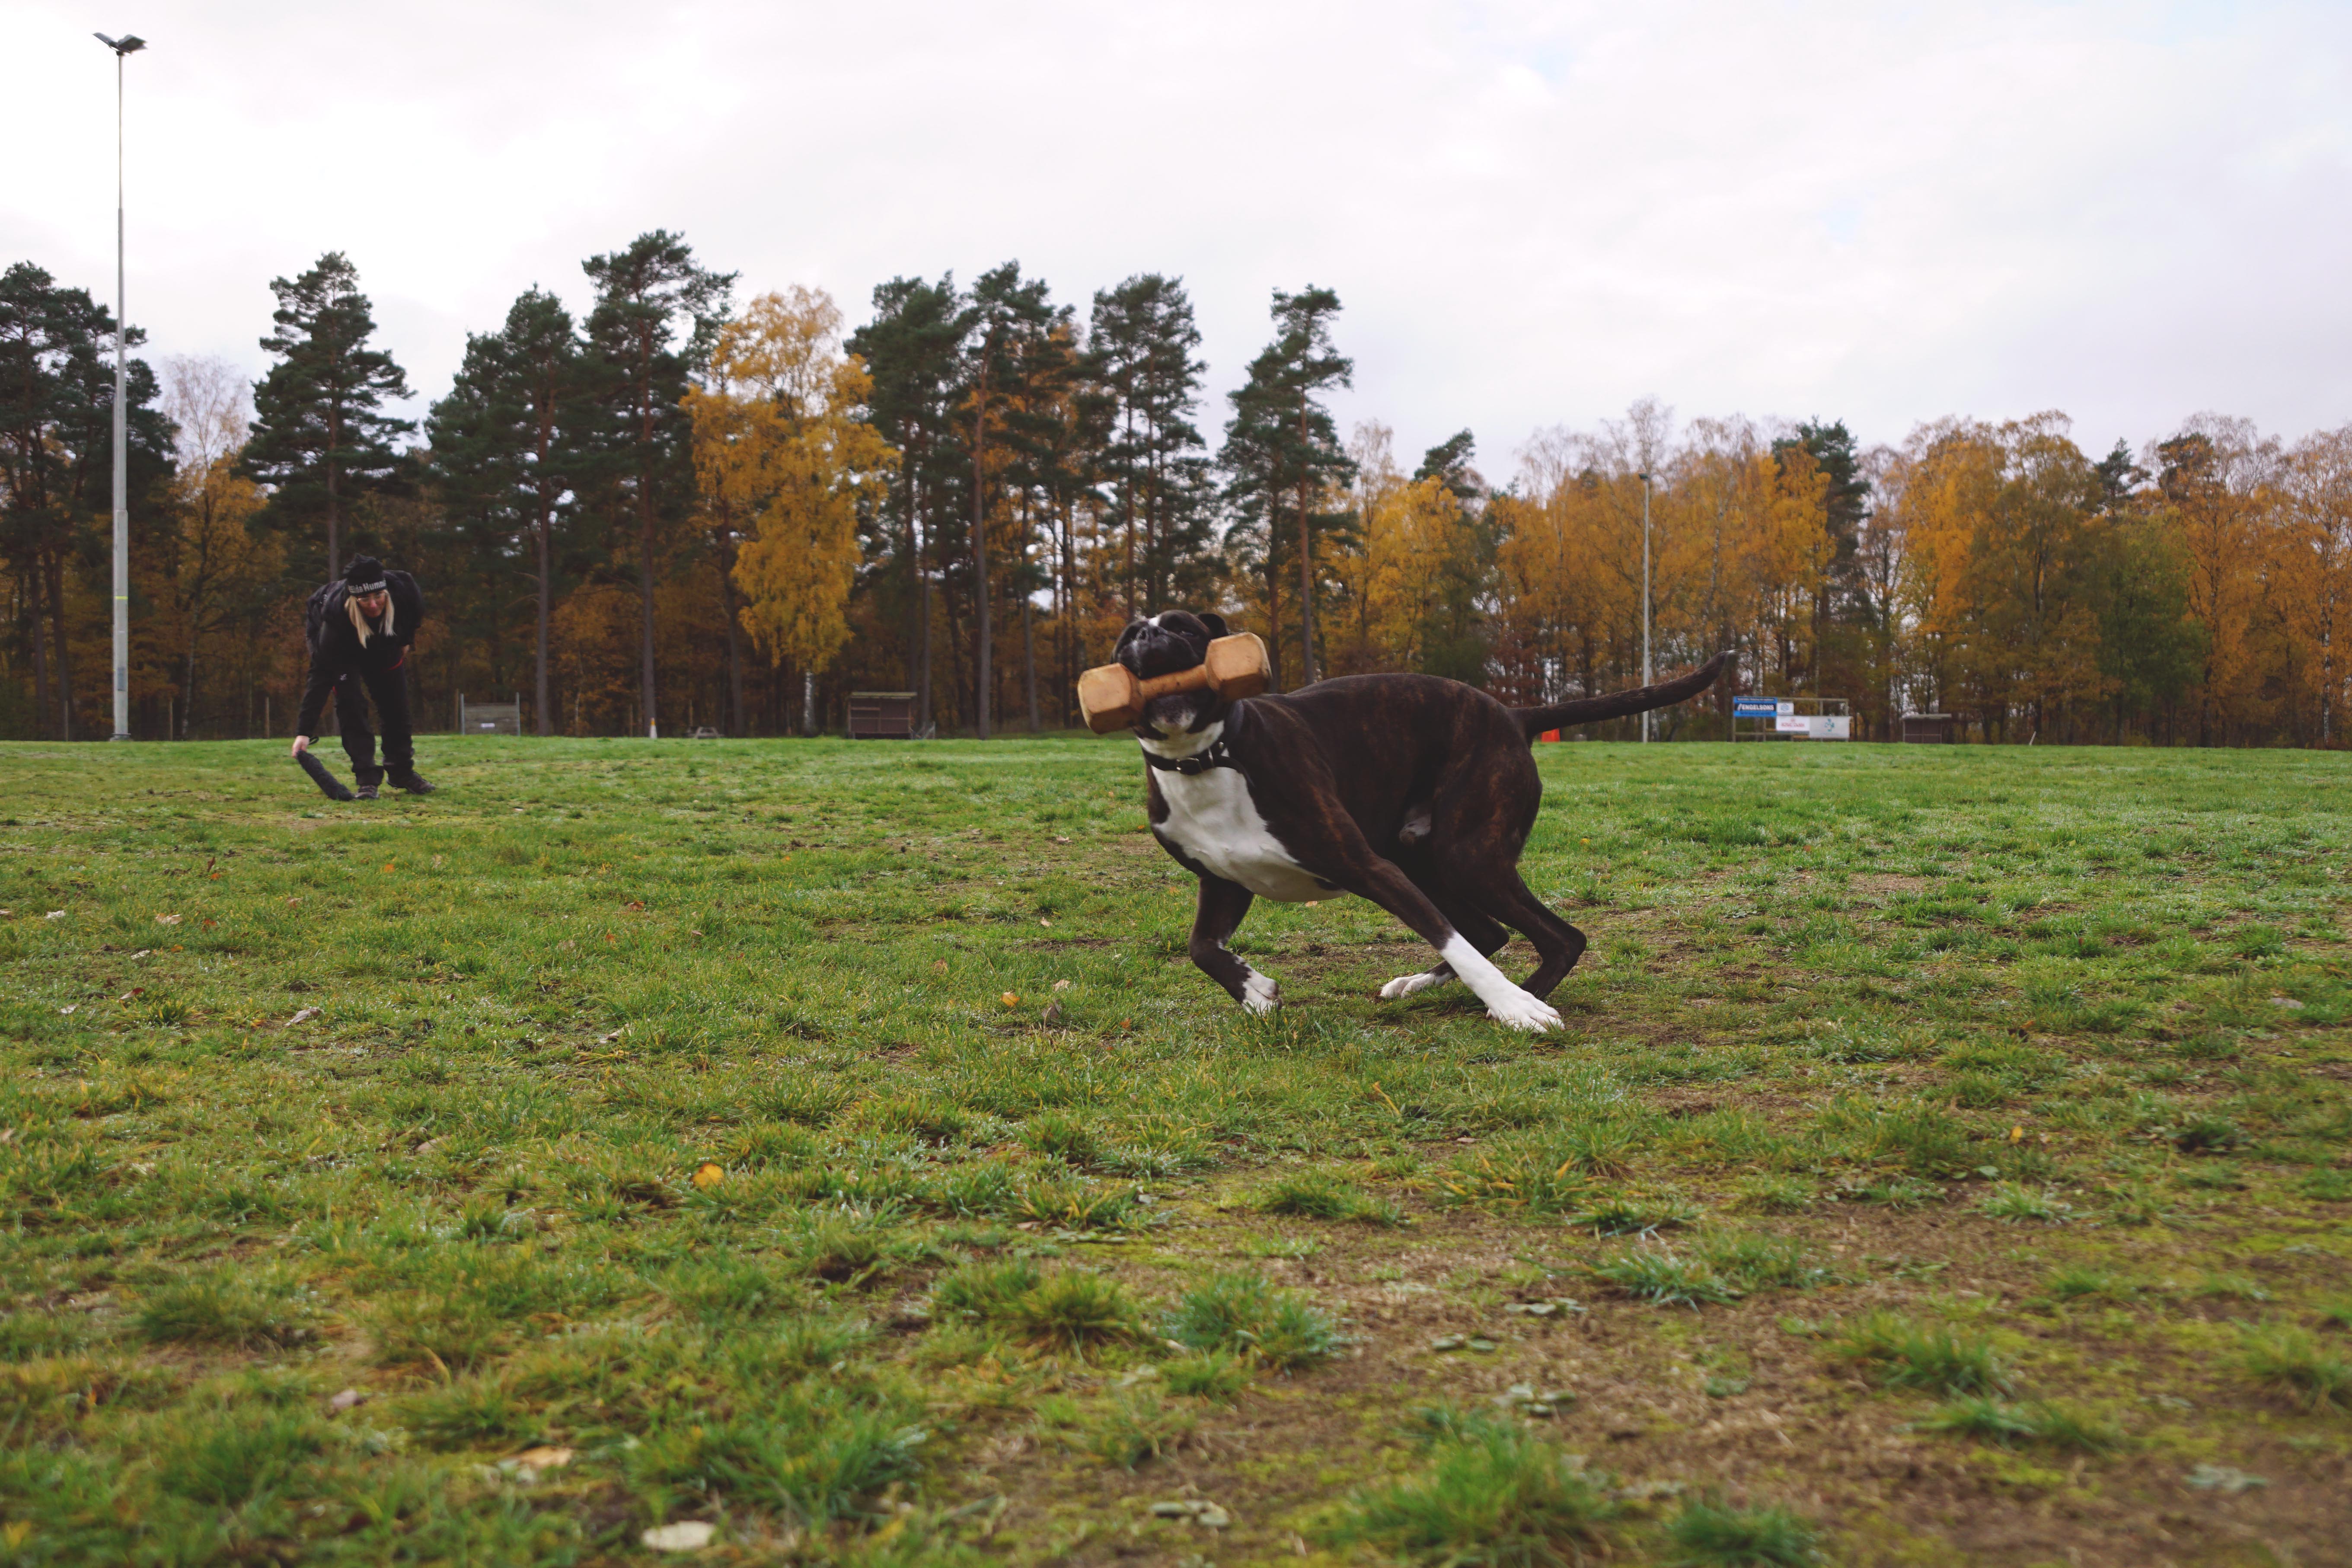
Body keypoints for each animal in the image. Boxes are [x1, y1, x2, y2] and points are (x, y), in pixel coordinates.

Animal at [1119, 611, 1731, 1029]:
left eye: (1184, 628)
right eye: (1127, 637)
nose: (1147, 638)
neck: (1206, 757)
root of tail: (1513, 714)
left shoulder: (1368, 869)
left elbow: (1450, 940)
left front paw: (1512, 1004)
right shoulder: (1223, 883)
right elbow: (1200, 948)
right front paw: (1253, 991)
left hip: (1465, 859)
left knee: (1556, 937)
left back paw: (1522, 998)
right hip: (1425, 860)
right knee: (1489, 931)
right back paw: (1421, 982)